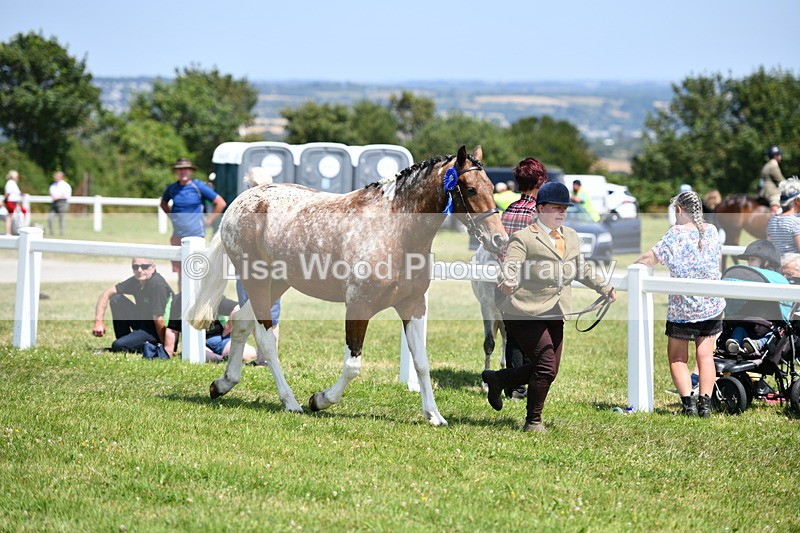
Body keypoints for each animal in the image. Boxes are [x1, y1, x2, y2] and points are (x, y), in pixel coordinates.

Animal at [187, 146, 508, 427]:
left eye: (492, 188)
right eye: (470, 189)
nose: (500, 240)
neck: (396, 231)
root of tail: (242, 200)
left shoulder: (413, 305)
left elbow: (421, 362)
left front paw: (434, 416)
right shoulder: (358, 305)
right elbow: (353, 365)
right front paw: (320, 400)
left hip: (277, 284)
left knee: (242, 323)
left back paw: (223, 384)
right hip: (257, 281)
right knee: (266, 338)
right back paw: (290, 401)